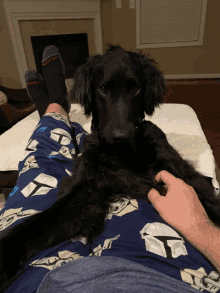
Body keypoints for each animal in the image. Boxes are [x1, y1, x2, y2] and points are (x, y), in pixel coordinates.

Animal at [0, 43, 220, 290]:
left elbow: (210, 203)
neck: (122, 154)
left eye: (135, 89)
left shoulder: (182, 175)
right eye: (103, 89)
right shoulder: (85, 191)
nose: (120, 136)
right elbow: (38, 223)